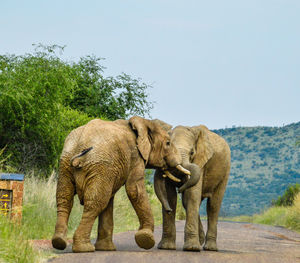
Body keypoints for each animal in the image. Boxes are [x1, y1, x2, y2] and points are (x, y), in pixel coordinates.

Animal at [50, 117, 192, 254]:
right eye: (168, 143)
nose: (169, 210)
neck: (143, 122)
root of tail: (80, 145)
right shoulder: (135, 156)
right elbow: (134, 189)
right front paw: (145, 238)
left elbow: (110, 200)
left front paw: (106, 249)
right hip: (99, 165)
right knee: (95, 203)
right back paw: (84, 249)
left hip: (67, 164)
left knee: (65, 199)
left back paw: (59, 241)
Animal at [154, 124, 231, 252]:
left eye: (192, 152)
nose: (180, 188)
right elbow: (170, 196)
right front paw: (166, 247)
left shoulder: (201, 162)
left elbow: (192, 194)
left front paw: (191, 248)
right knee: (190, 203)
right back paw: (201, 241)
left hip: (225, 170)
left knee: (213, 205)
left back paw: (210, 248)